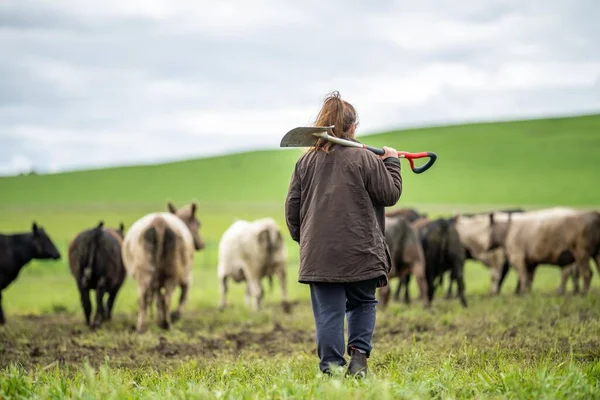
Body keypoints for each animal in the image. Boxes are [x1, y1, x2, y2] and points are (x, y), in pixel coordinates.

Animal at [122, 202, 206, 332]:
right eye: (198, 223)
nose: (202, 244)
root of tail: (159, 222)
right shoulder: (187, 277)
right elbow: (183, 297)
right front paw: (174, 316)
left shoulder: (156, 282)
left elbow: (158, 300)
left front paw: (159, 321)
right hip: (171, 273)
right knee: (166, 299)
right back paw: (167, 324)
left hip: (146, 273)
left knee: (144, 299)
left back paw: (142, 328)